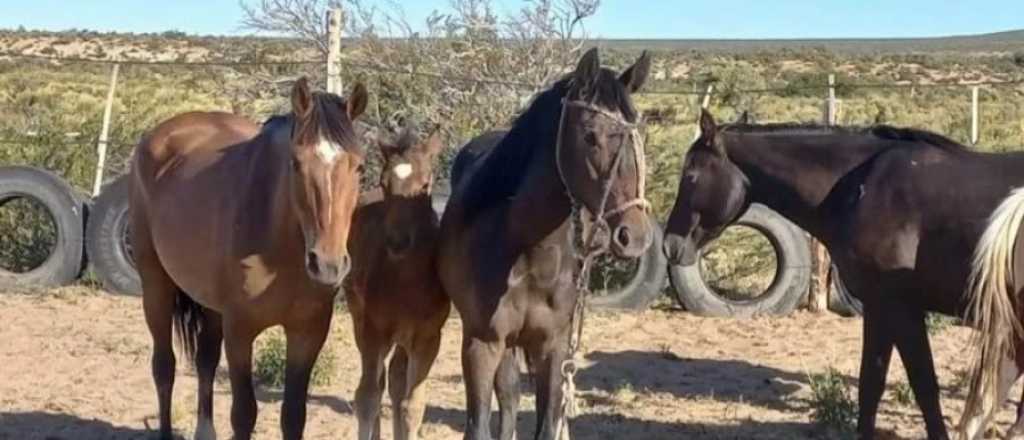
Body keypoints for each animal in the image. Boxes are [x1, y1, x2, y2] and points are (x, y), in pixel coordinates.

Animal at [129, 77, 368, 440]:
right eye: (296, 163)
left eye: (359, 166)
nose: (327, 265)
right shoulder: (240, 332)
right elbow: (244, 414)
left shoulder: (308, 333)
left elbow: (293, 416)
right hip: (156, 286)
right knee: (164, 367)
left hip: (210, 305)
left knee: (205, 361)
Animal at [344, 123, 450, 440]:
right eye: (383, 183)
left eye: (425, 185)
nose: (398, 242)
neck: (406, 283)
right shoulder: (373, 331)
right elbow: (367, 397)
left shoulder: (428, 338)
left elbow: (412, 404)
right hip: (359, 318)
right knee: (378, 384)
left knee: (395, 380)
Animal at [438, 47, 653, 440]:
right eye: (590, 136)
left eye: (637, 135)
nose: (635, 236)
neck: (522, 246)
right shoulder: (481, 345)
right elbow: (480, 425)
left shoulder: (553, 348)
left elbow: (547, 425)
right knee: (507, 400)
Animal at [661, 109, 1024, 440]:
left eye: (690, 176)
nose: (670, 245)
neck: (862, 185)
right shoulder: (878, 309)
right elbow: (870, 384)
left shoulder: (900, 307)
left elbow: (923, 386)